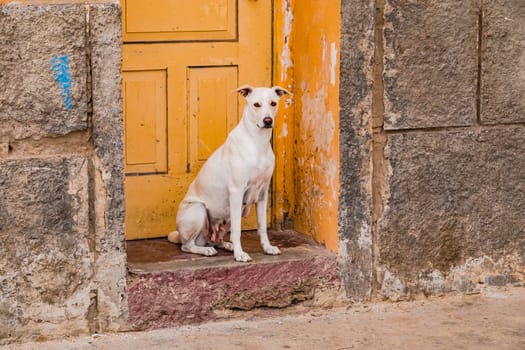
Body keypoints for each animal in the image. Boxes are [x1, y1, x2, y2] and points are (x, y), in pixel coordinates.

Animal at [168, 85, 290, 262]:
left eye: (273, 103)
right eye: (256, 105)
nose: (268, 120)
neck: (257, 142)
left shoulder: (262, 194)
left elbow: (262, 227)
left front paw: (267, 248)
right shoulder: (236, 191)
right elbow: (238, 231)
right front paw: (239, 254)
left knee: (215, 240)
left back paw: (226, 245)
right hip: (198, 209)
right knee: (187, 245)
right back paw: (206, 250)